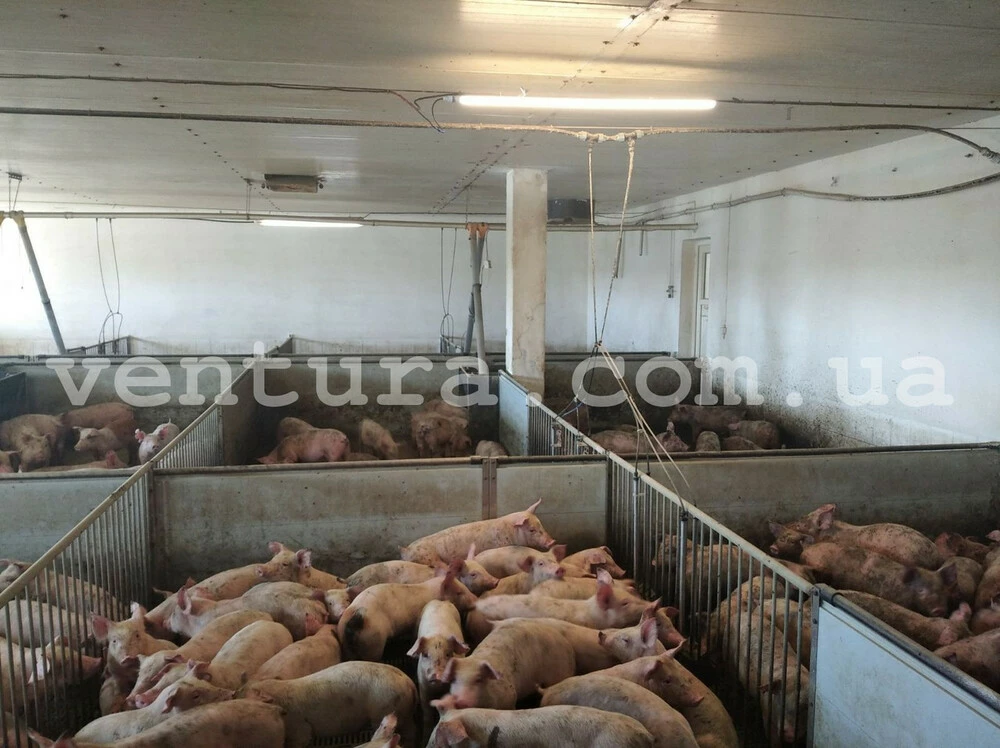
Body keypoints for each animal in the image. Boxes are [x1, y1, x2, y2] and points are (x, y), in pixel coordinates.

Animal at [239, 662, 418, 748]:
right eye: (237, 693)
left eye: (244, 698)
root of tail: (409, 682)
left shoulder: (299, 728)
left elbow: (302, 739)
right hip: (402, 711)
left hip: (383, 708)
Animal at [338, 565, 477, 661]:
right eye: (459, 592)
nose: (476, 599)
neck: (433, 592)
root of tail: (357, 615)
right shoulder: (415, 622)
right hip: (373, 642)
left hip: (345, 643)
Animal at [400, 499, 556, 565]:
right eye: (531, 529)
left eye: (541, 524)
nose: (552, 541)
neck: (510, 533)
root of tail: (406, 549)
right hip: (428, 558)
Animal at [437, 618, 576, 710]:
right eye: (454, 680)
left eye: (478, 679)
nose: (460, 702)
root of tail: (567, 644)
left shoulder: (509, 698)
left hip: (559, 672)